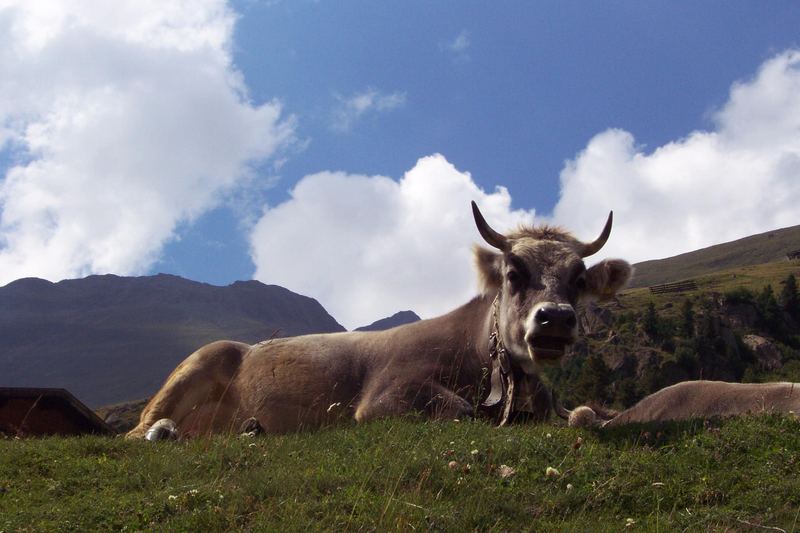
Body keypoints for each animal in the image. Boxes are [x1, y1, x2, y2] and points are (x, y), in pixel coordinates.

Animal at [128, 202, 636, 438]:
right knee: (138, 432)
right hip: (199, 362)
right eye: (513, 273)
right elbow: (460, 409)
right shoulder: (384, 398)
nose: (555, 319)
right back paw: (162, 433)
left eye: (578, 280)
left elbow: (586, 413)